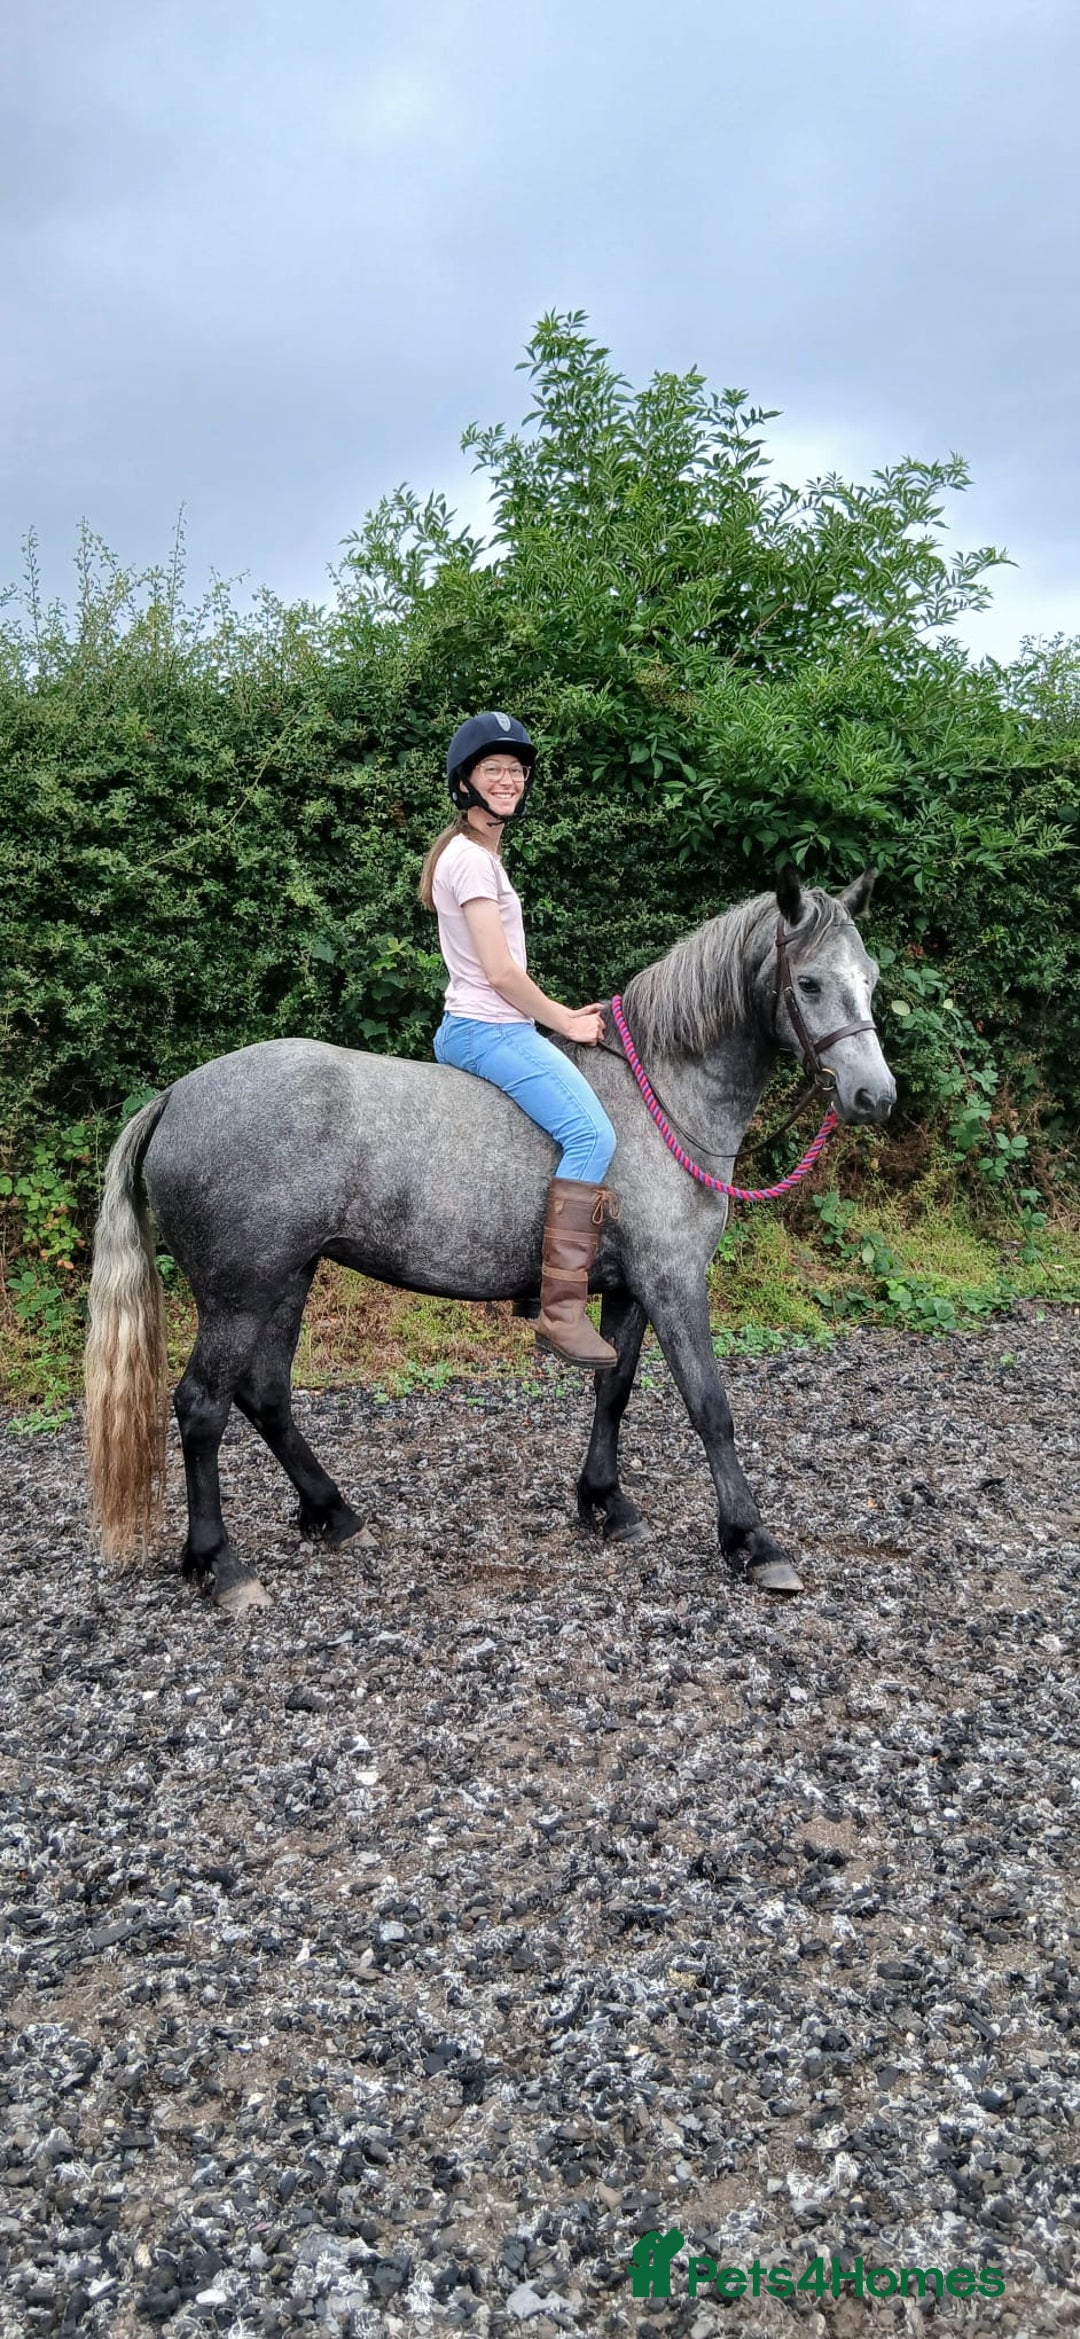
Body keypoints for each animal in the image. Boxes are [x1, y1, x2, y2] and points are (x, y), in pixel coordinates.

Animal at [84, 868, 895, 1613]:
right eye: (810, 982)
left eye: (871, 980)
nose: (874, 1096)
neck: (659, 1094)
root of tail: (176, 1096)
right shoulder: (672, 1281)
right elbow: (711, 1408)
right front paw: (753, 1542)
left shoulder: (631, 1288)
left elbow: (613, 1391)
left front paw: (606, 1502)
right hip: (239, 1294)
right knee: (201, 1408)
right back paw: (220, 1564)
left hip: (288, 1277)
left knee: (266, 1395)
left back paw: (332, 1513)